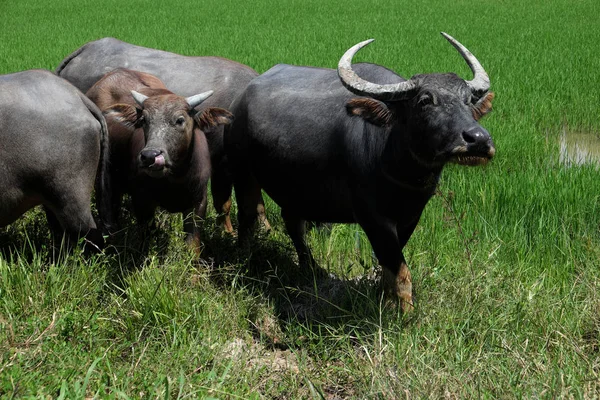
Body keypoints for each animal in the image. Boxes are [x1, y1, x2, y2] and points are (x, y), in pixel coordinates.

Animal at [55, 38, 270, 233]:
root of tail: (85, 49)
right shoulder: (223, 166)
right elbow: (223, 204)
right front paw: (229, 232)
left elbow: (258, 203)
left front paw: (265, 228)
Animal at [86, 67, 234, 253]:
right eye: (144, 120)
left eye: (180, 120)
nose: (150, 156)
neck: (175, 179)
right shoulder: (142, 201)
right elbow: (148, 238)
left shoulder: (198, 202)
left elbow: (192, 245)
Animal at [227, 32, 494, 310]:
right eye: (424, 101)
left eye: (468, 101)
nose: (478, 139)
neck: (400, 170)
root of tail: (240, 99)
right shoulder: (372, 216)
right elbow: (400, 271)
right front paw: (405, 313)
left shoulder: (410, 216)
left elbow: (387, 268)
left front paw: (387, 301)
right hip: (242, 172)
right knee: (247, 216)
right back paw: (244, 261)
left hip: (294, 189)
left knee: (293, 223)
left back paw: (312, 268)